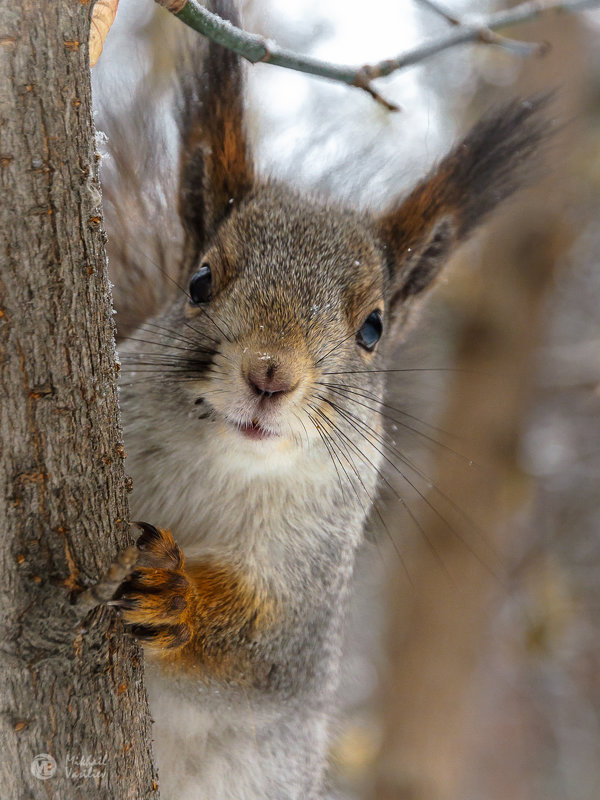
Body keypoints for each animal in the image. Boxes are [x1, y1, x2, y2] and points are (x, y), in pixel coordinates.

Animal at [99, 3, 552, 796]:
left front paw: (177, 595)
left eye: (373, 328)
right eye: (199, 281)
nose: (269, 376)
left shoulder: (314, 588)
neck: (221, 465)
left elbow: (265, 652)